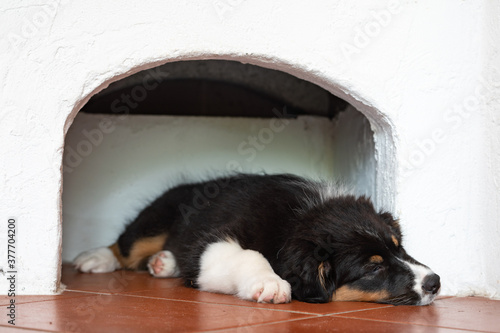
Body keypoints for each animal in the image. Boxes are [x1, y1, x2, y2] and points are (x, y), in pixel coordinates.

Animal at [72, 172, 440, 304]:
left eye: (400, 248)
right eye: (372, 269)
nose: (435, 282)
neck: (297, 221)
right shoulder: (214, 242)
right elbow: (250, 255)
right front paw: (270, 284)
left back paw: (164, 263)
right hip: (157, 217)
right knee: (126, 243)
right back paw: (94, 258)